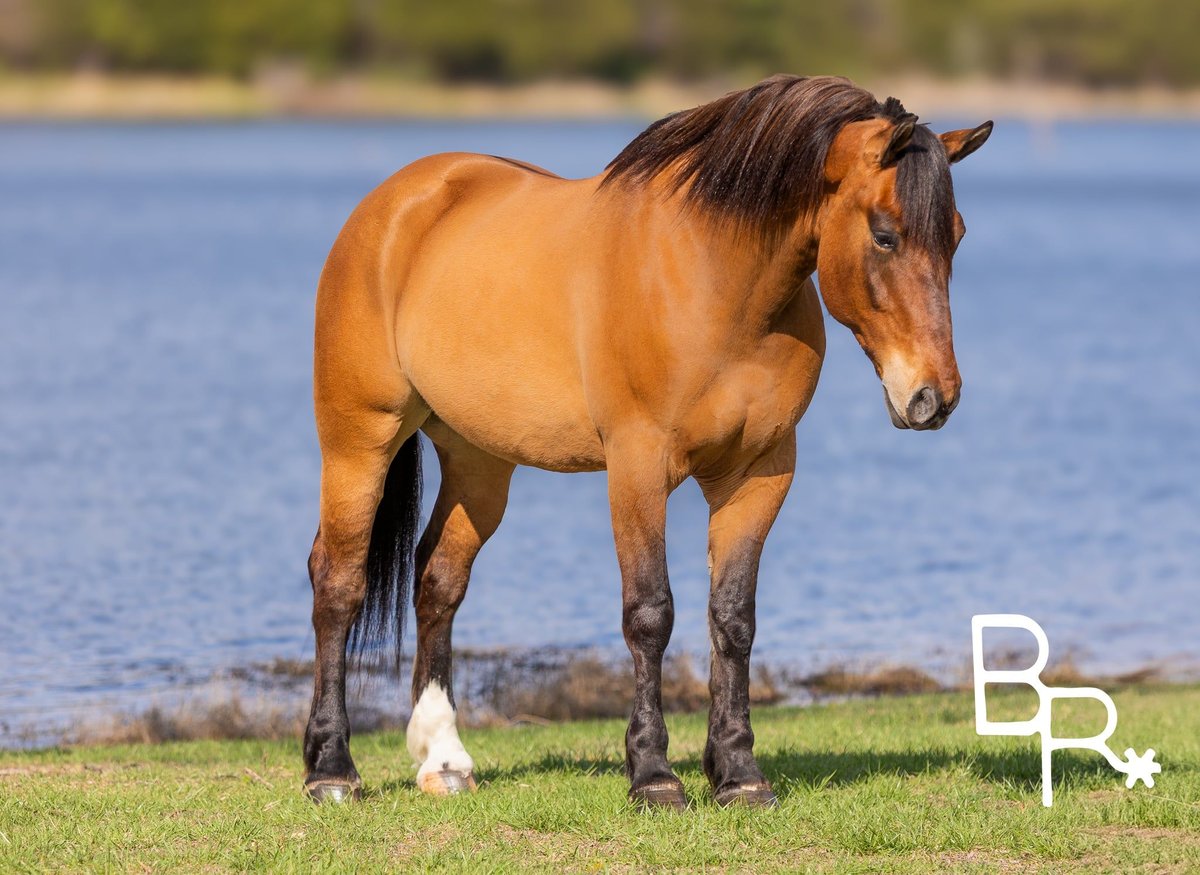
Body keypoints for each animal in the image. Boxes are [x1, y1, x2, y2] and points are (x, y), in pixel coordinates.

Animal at [301, 74, 992, 809]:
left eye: (955, 234)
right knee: (338, 581)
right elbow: (650, 613)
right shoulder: (637, 466)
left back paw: (443, 760)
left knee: (437, 581)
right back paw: (331, 768)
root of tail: (396, 203)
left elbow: (733, 618)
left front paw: (739, 774)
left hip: (477, 461)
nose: (933, 397)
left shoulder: (760, 472)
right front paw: (654, 775)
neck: (714, 283)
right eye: (885, 235)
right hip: (359, 440)